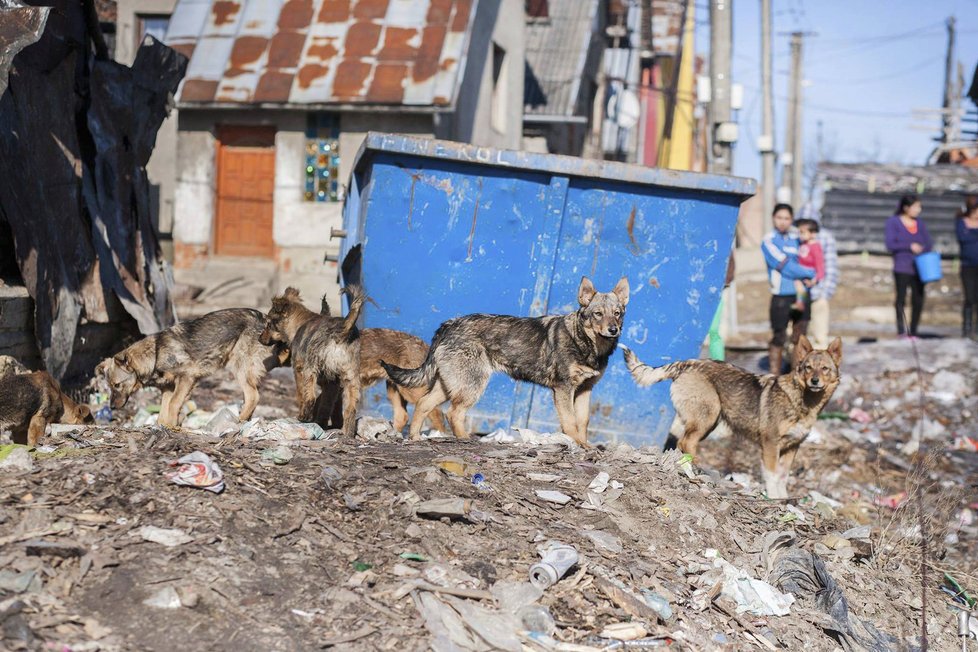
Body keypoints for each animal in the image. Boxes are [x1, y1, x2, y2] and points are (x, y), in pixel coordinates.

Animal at [96, 310, 284, 428]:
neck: (155, 354)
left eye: (117, 385)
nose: (111, 407)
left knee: (253, 396)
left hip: (238, 368)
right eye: (109, 386)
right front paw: (164, 426)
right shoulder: (168, 388)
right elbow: (163, 411)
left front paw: (172, 426)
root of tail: (265, 319)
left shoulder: (187, 378)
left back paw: (238, 421)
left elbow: (174, 404)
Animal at [260, 286, 366, 436]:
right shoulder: (332, 383)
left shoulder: (299, 370)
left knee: (310, 397)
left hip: (310, 370)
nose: (259, 338)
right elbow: (327, 403)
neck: (300, 322)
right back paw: (348, 433)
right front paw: (322, 423)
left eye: (269, 324)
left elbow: (302, 395)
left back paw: (304, 417)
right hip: (351, 378)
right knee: (350, 408)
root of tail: (342, 331)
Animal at [620, 336, 844, 500]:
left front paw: (783, 498)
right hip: (708, 416)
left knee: (683, 442)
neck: (802, 400)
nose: (814, 380)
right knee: (686, 442)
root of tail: (685, 363)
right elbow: (771, 476)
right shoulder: (770, 444)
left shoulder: (792, 447)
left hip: (709, 422)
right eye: (808, 367)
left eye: (824, 368)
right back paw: (698, 468)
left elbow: (782, 477)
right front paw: (773, 498)